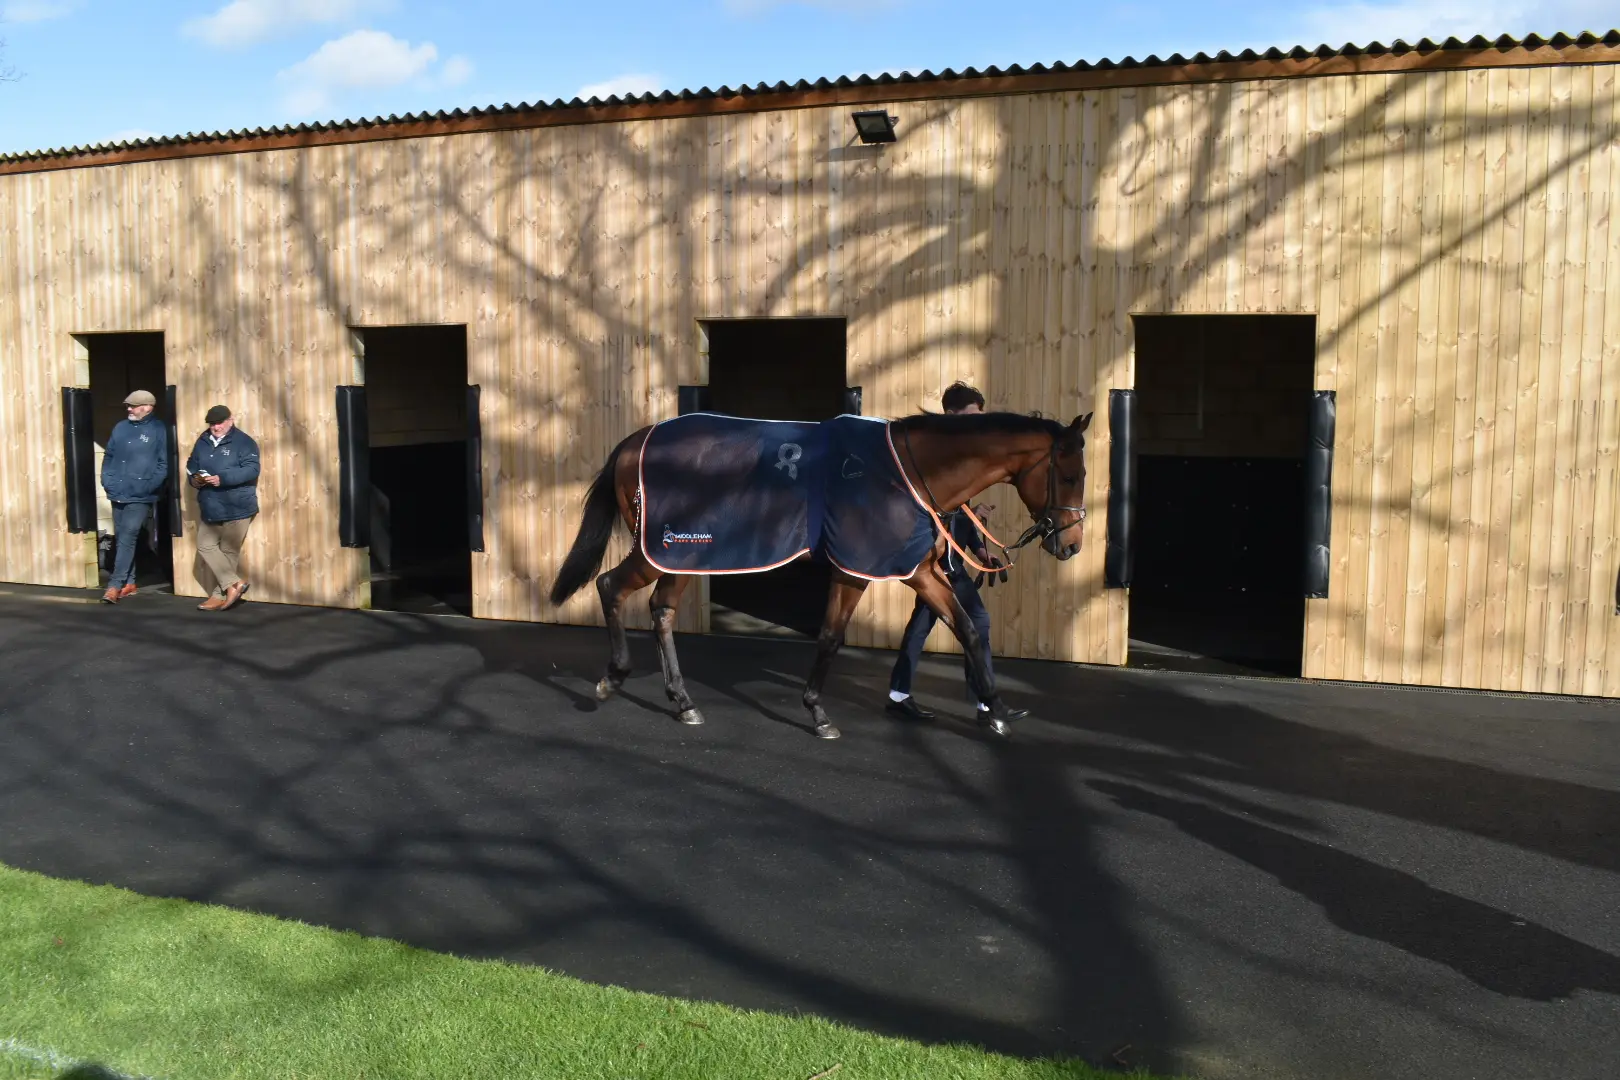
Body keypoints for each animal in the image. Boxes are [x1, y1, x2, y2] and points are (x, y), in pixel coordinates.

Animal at [550, 409, 1095, 738]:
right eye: (1070, 475)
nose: (1071, 544)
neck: (902, 473)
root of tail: (634, 442)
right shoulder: (857, 570)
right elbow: (832, 637)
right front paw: (817, 711)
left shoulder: (918, 571)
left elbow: (965, 627)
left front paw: (996, 709)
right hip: (663, 550)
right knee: (610, 586)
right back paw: (613, 677)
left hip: (679, 556)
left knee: (661, 611)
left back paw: (682, 701)